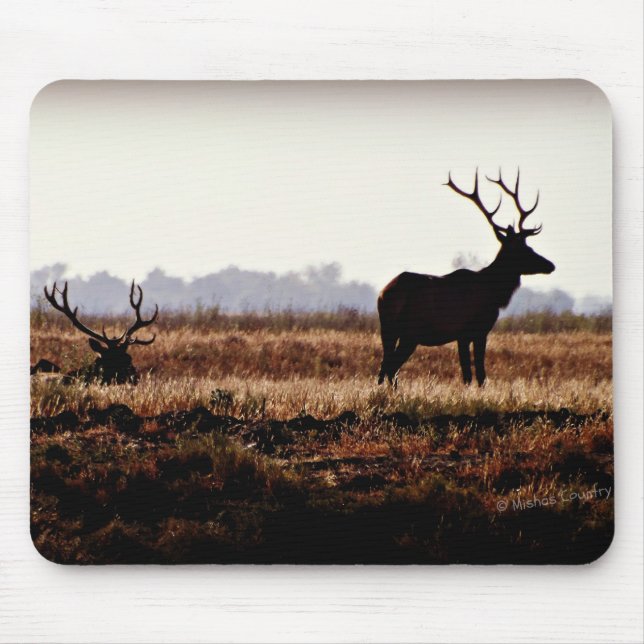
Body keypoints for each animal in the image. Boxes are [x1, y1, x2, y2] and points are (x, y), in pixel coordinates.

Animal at [377, 169, 555, 388]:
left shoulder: (463, 335)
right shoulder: (475, 330)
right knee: (391, 367)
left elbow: (468, 373)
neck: (494, 294)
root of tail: (384, 294)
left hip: (388, 329)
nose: (550, 265)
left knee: (385, 367)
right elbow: (477, 374)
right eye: (524, 249)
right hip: (410, 332)